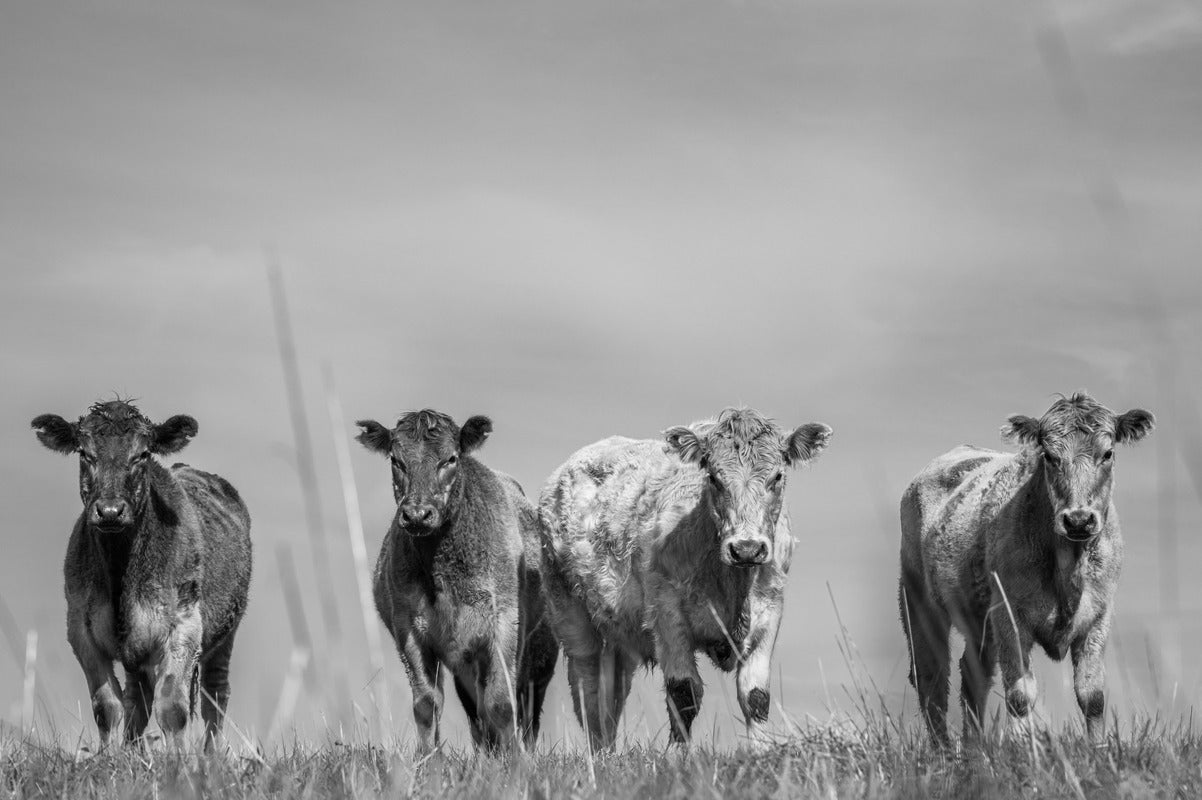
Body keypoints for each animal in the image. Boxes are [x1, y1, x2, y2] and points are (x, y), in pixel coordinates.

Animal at [31, 400, 252, 749]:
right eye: (85, 453)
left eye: (143, 454)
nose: (110, 511)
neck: (121, 574)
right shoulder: (80, 629)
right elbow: (108, 706)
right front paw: (109, 757)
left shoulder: (184, 625)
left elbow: (173, 707)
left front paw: (179, 760)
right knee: (138, 698)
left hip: (227, 631)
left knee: (215, 695)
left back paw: (210, 754)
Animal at [356, 409, 558, 752]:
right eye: (396, 460)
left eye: (450, 458)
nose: (417, 514)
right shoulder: (408, 629)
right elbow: (427, 703)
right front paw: (429, 758)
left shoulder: (503, 623)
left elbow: (502, 701)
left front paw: (514, 760)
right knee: (476, 711)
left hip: (540, 652)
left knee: (526, 707)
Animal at [538, 407, 832, 750]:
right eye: (714, 478)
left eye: (777, 477)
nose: (746, 548)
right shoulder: (667, 614)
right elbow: (683, 693)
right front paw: (677, 755)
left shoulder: (770, 612)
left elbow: (756, 696)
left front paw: (761, 751)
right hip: (570, 615)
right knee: (587, 689)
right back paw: (596, 753)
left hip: (619, 633)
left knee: (611, 693)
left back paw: (608, 751)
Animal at [898, 391, 1154, 745]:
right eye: (1049, 455)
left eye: (1108, 453)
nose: (1078, 520)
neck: (1068, 569)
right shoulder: (1010, 617)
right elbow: (1020, 694)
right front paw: (1023, 750)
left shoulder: (1098, 617)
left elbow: (1092, 696)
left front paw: (1098, 749)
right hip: (919, 601)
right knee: (931, 678)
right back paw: (944, 750)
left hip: (978, 622)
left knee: (972, 676)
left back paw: (974, 750)